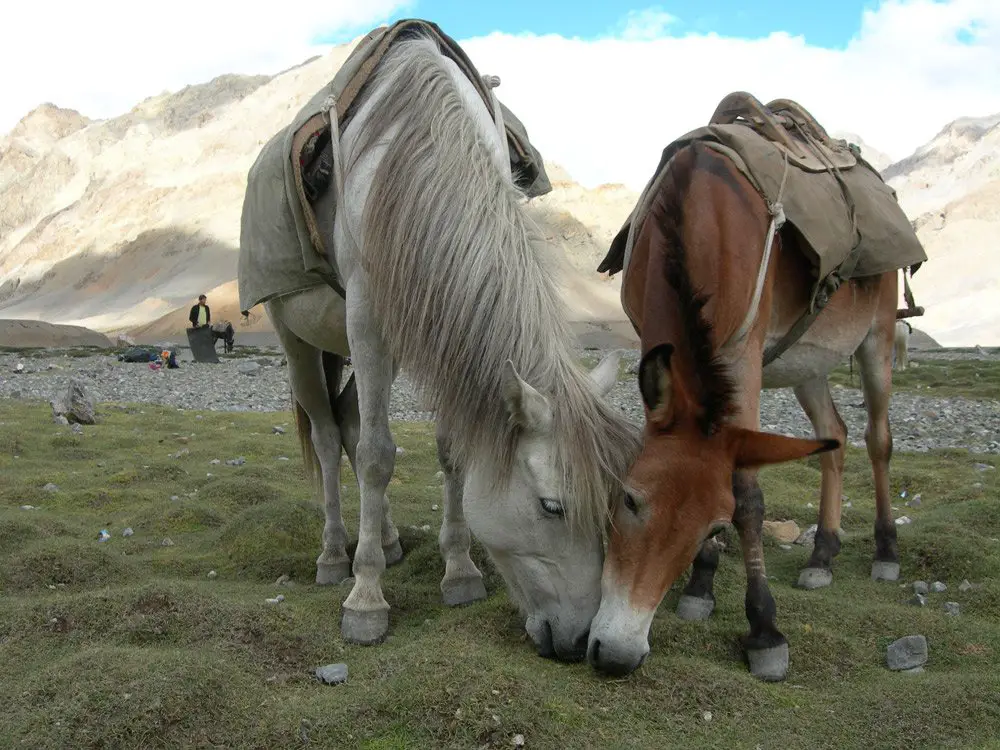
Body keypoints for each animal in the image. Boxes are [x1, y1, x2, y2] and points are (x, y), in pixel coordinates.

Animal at [250, 36, 640, 656]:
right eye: (551, 506)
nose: (578, 640)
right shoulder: (367, 320)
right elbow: (377, 456)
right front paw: (366, 599)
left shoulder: (432, 324)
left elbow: (450, 450)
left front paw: (459, 572)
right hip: (297, 343)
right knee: (331, 435)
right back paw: (335, 555)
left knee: (350, 420)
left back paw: (385, 541)